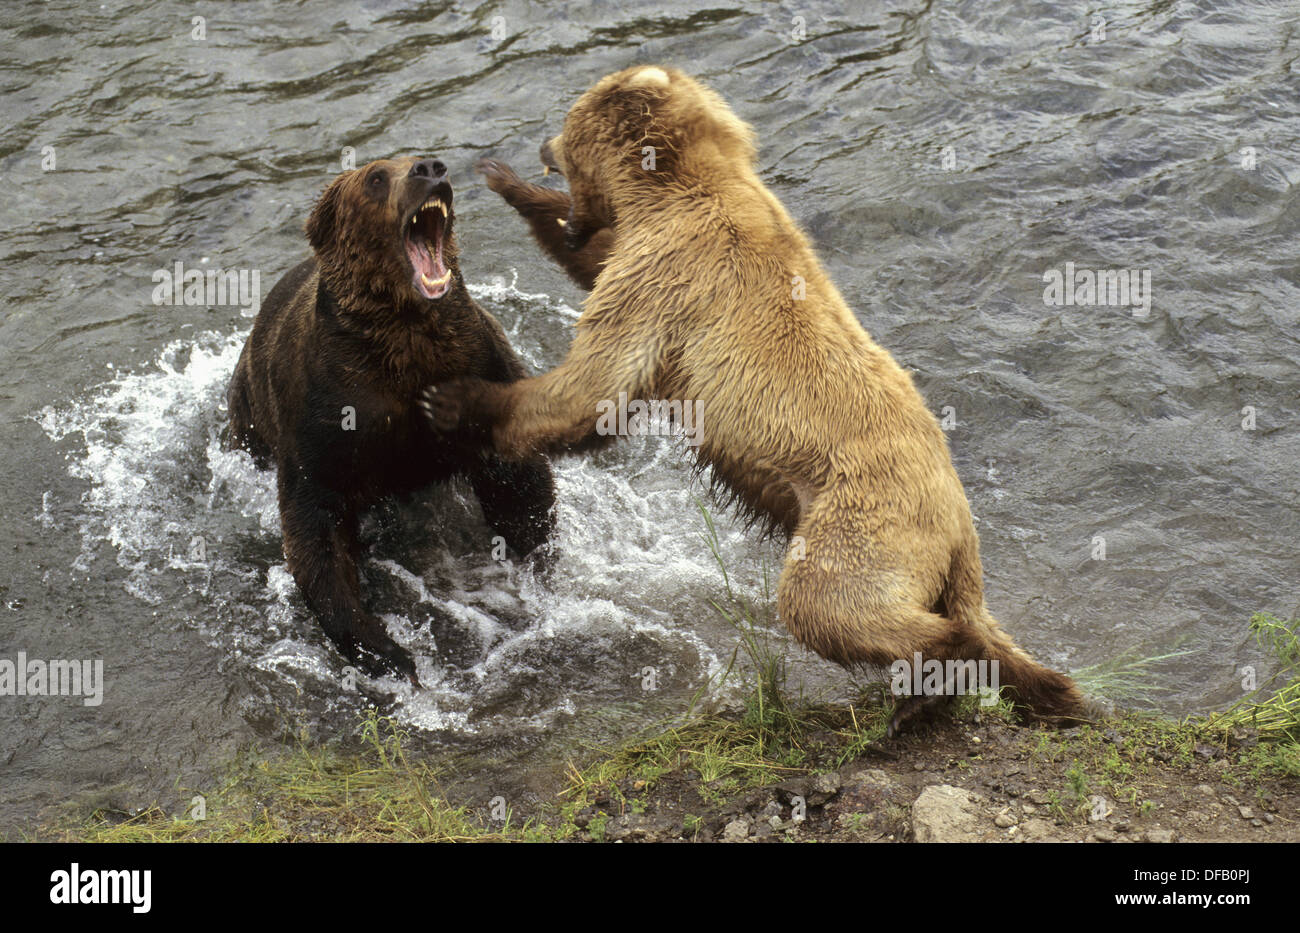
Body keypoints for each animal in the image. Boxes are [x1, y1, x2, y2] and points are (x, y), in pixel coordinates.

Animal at [226, 155, 555, 685]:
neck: (405, 337)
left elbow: (518, 480)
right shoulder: (324, 416)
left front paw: (536, 565)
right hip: (248, 417)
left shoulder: (478, 363)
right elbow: (315, 533)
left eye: (420, 160)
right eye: (376, 177)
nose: (430, 167)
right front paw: (388, 651)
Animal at [427, 67, 1085, 733]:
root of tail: (959, 523)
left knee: (826, 602)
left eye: (567, 122)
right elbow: (591, 261)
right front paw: (510, 184)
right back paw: (1041, 691)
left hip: (861, 520)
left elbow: (594, 387)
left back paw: (929, 686)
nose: (541, 143)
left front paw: (454, 399)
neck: (673, 186)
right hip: (923, 552)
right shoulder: (651, 252)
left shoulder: (667, 277)